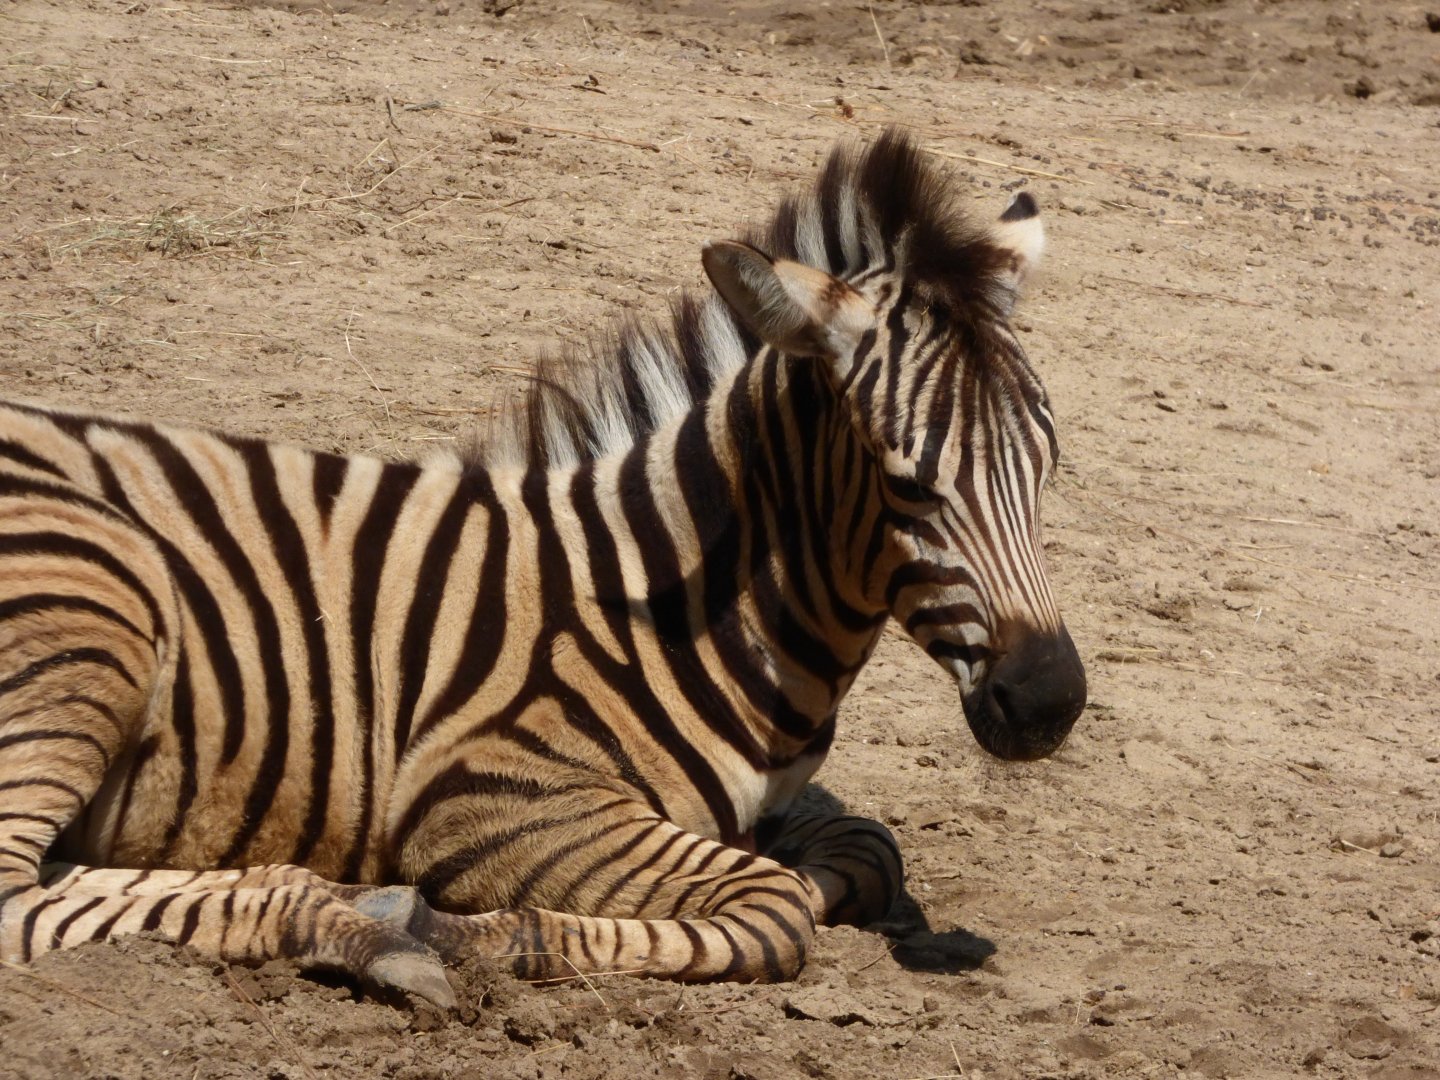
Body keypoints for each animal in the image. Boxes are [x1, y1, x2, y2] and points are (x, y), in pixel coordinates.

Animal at [0, 128, 1085, 1008]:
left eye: (1049, 456)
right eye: (906, 484)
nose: (1050, 702)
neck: (682, 603)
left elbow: (867, 849)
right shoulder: (486, 793)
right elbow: (777, 909)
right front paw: (473, 929)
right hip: (94, 615)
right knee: (18, 898)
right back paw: (369, 922)